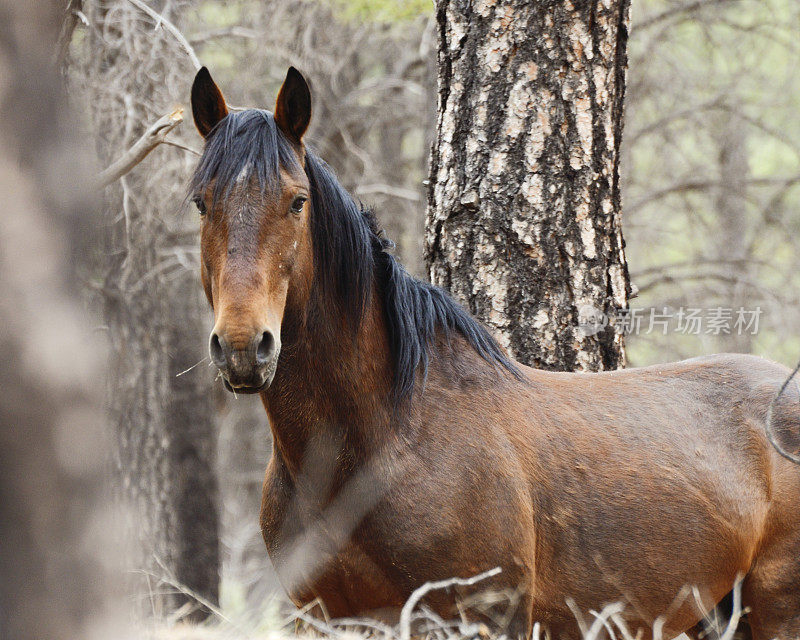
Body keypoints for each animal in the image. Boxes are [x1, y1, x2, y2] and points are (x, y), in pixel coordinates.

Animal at [189, 66, 800, 640]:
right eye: (201, 204)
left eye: (297, 201)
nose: (243, 347)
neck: (387, 435)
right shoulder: (322, 617)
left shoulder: (487, 615)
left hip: (775, 609)